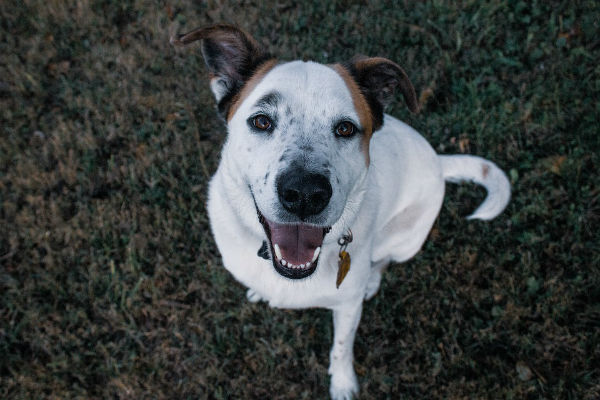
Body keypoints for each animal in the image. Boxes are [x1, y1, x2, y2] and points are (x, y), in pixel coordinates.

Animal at [171, 25, 508, 400]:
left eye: (345, 128)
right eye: (261, 121)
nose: (304, 194)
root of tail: (438, 160)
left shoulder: (347, 307)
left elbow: (342, 346)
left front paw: (343, 383)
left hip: (405, 240)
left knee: (383, 260)